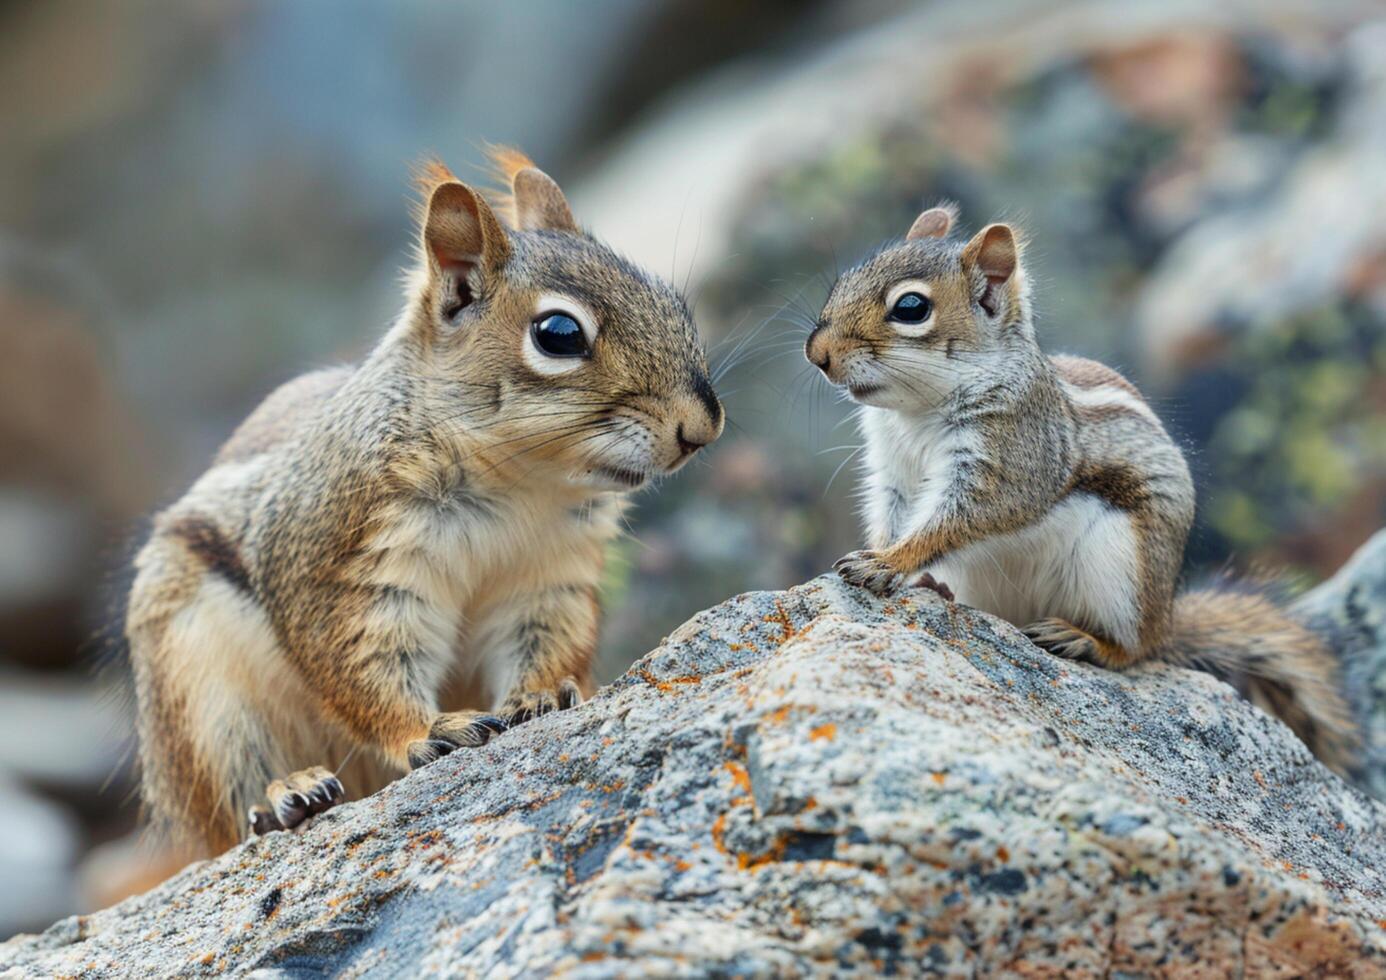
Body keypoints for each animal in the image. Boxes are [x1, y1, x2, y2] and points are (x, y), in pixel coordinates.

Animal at [126, 149, 726, 853]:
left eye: (673, 300)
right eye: (558, 334)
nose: (703, 426)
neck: (520, 484)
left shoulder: (550, 574)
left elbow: (547, 636)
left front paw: (542, 694)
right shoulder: (345, 565)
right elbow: (364, 667)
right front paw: (431, 730)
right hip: (199, 688)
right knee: (234, 796)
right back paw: (284, 796)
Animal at [809, 206, 1358, 776]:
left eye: (911, 308)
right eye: (843, 283)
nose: (816, 354)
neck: (915, 411)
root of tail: (1167, 616)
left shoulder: (1011, 461)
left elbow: (954, 522)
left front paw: (888, 563)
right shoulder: (892, 472)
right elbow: (891, 516)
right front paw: (884, 557)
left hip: (1122, 573)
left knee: (1136, 651)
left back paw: (1083, 639)